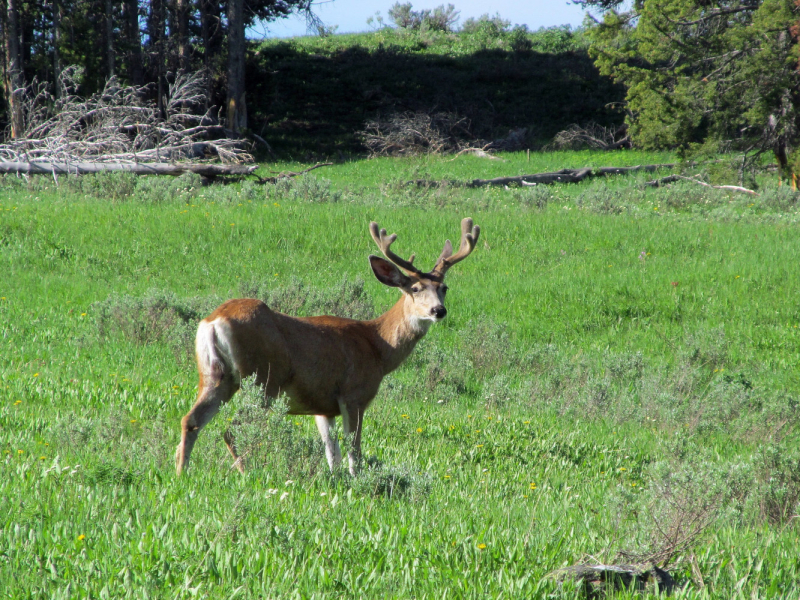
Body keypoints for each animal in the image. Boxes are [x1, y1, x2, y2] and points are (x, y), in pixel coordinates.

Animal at [175, 218, 478, 476]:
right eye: (415, 288)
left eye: (444, 288)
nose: (439, 311)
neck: (378, 347)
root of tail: (213, 321)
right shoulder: (354, 394)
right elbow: (354, 449)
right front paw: (359, 480)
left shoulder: (323, 405)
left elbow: (332, 453)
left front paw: (337, 480)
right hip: (262, 379)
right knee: (232, 429)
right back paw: (247, 472)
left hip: (216, 375)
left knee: (191, 419)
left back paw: (181, 473)